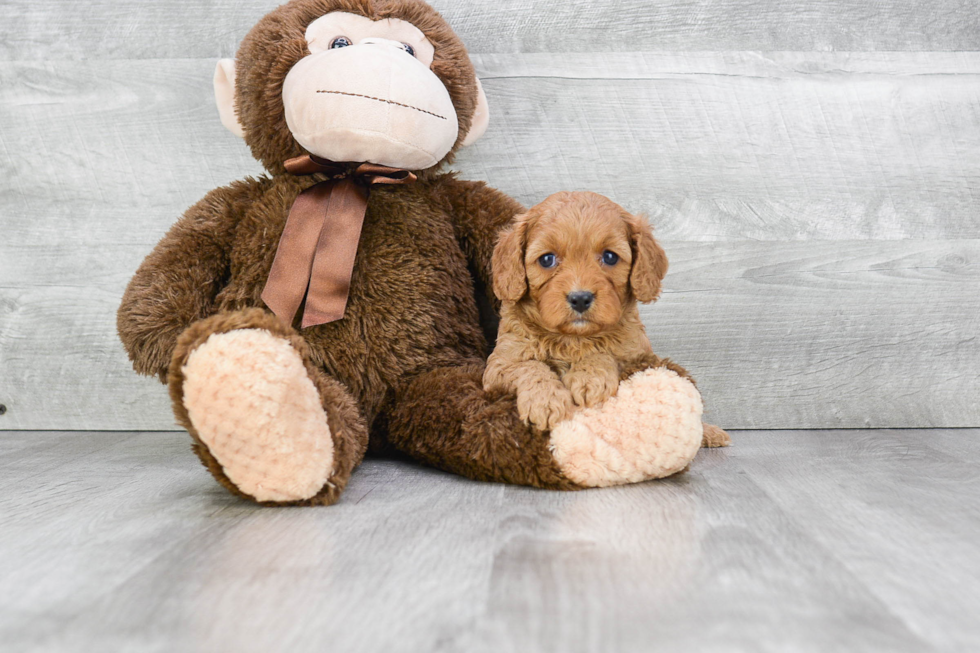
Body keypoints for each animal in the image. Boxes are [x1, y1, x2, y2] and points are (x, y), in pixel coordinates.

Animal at [482, 190, 728, 448]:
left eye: (610, 257)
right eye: (547, 259)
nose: (580, 298)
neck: (574, 338)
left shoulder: (640, 358)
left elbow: (604, 353)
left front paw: (590, 377)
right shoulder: (497, 368)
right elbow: (530, 365)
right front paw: (546, 401)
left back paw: (710, 432)